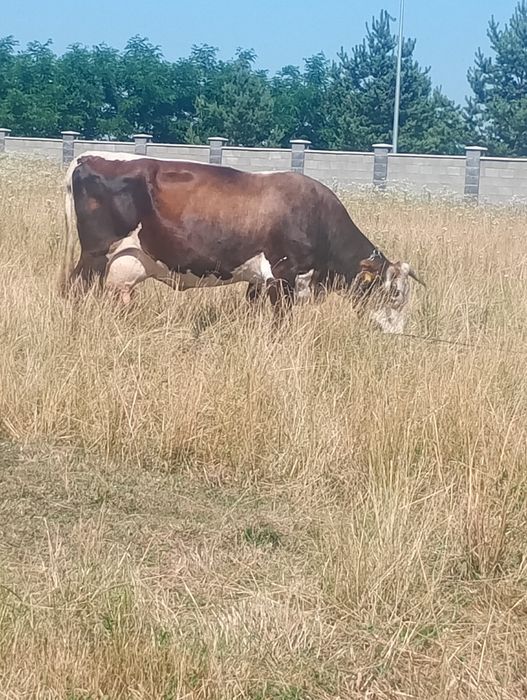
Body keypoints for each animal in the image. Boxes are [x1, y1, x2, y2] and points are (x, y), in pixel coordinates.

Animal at [60, 151, 424, 332]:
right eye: (394, 294)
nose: (395, 335)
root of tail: (87, 156)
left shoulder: (258, 281)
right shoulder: (283, 277)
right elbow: (280, 325)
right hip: (95, 254)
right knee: (76, 291)